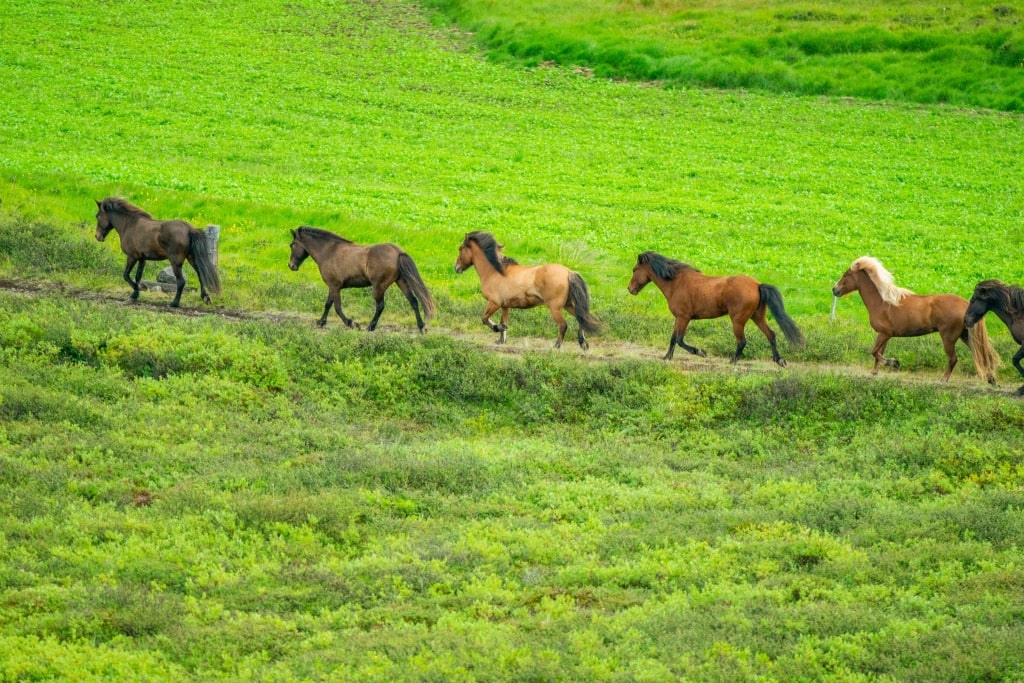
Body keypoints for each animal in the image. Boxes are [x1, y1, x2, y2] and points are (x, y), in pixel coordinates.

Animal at [94, 194, 222, 307]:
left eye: (97, 216)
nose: (97, 236)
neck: (129, 225)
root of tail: (189, 229)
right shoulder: (142, 258)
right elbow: (137, 276)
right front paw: (136, 294)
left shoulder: (132, 256)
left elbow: (126, 275)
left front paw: (139, 290)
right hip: (191, 258)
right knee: (201, 275)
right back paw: (205, 298)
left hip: (176, 262)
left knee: (181, 281)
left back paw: (174, 303)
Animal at [286, 225, 434, 331]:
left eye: (292, 245)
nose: (291, 266)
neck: (329, 251)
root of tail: (398, 252)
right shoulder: (333, 286)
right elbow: (328, 304)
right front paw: (321, 322)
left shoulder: (334, 286)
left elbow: (337, 307)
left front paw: (351, 323)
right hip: (401, 282)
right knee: (413, 301)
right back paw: (421, 327)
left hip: (379, 286)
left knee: (380, 306)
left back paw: (371, 326)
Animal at [454, 231, 598, 350]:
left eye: (460, 248)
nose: (456, 268)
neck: (494, 272)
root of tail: (569, 272)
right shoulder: (505, 306)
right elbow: (503, 321)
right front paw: (501, 340)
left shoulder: (494, 303)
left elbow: (484, 319)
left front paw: (498, 328)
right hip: (568, 305)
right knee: (581, 318)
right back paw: (583, 344)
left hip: (555, 307)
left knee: (563, 325)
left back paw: (556, 346)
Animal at [626, 250, 802, 366]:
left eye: (635, 270)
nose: (630, 289)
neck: (675, 283)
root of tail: (757, 285)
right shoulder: (679, 318)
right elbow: (673, 338)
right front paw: (666, 357)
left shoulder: (684, 317)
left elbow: (679, 339)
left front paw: (701, 352)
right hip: (757, 317)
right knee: (771, 335)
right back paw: (779, 360)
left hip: (738, 320)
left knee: (742, 341)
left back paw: (732, 360)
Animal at [831, 255, 999, 385]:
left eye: (845, 275)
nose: (834, 289)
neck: (882, 302)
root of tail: (965, 304)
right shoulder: (885, 335)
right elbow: (878, 353)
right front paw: (875, 372)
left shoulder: (884, 333)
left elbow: (874, 351)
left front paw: (894, 363)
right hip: (965, 335)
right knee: (985, 356)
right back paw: (991, 379)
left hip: (949, 337)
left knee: (953, 359)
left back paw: (943, 379)